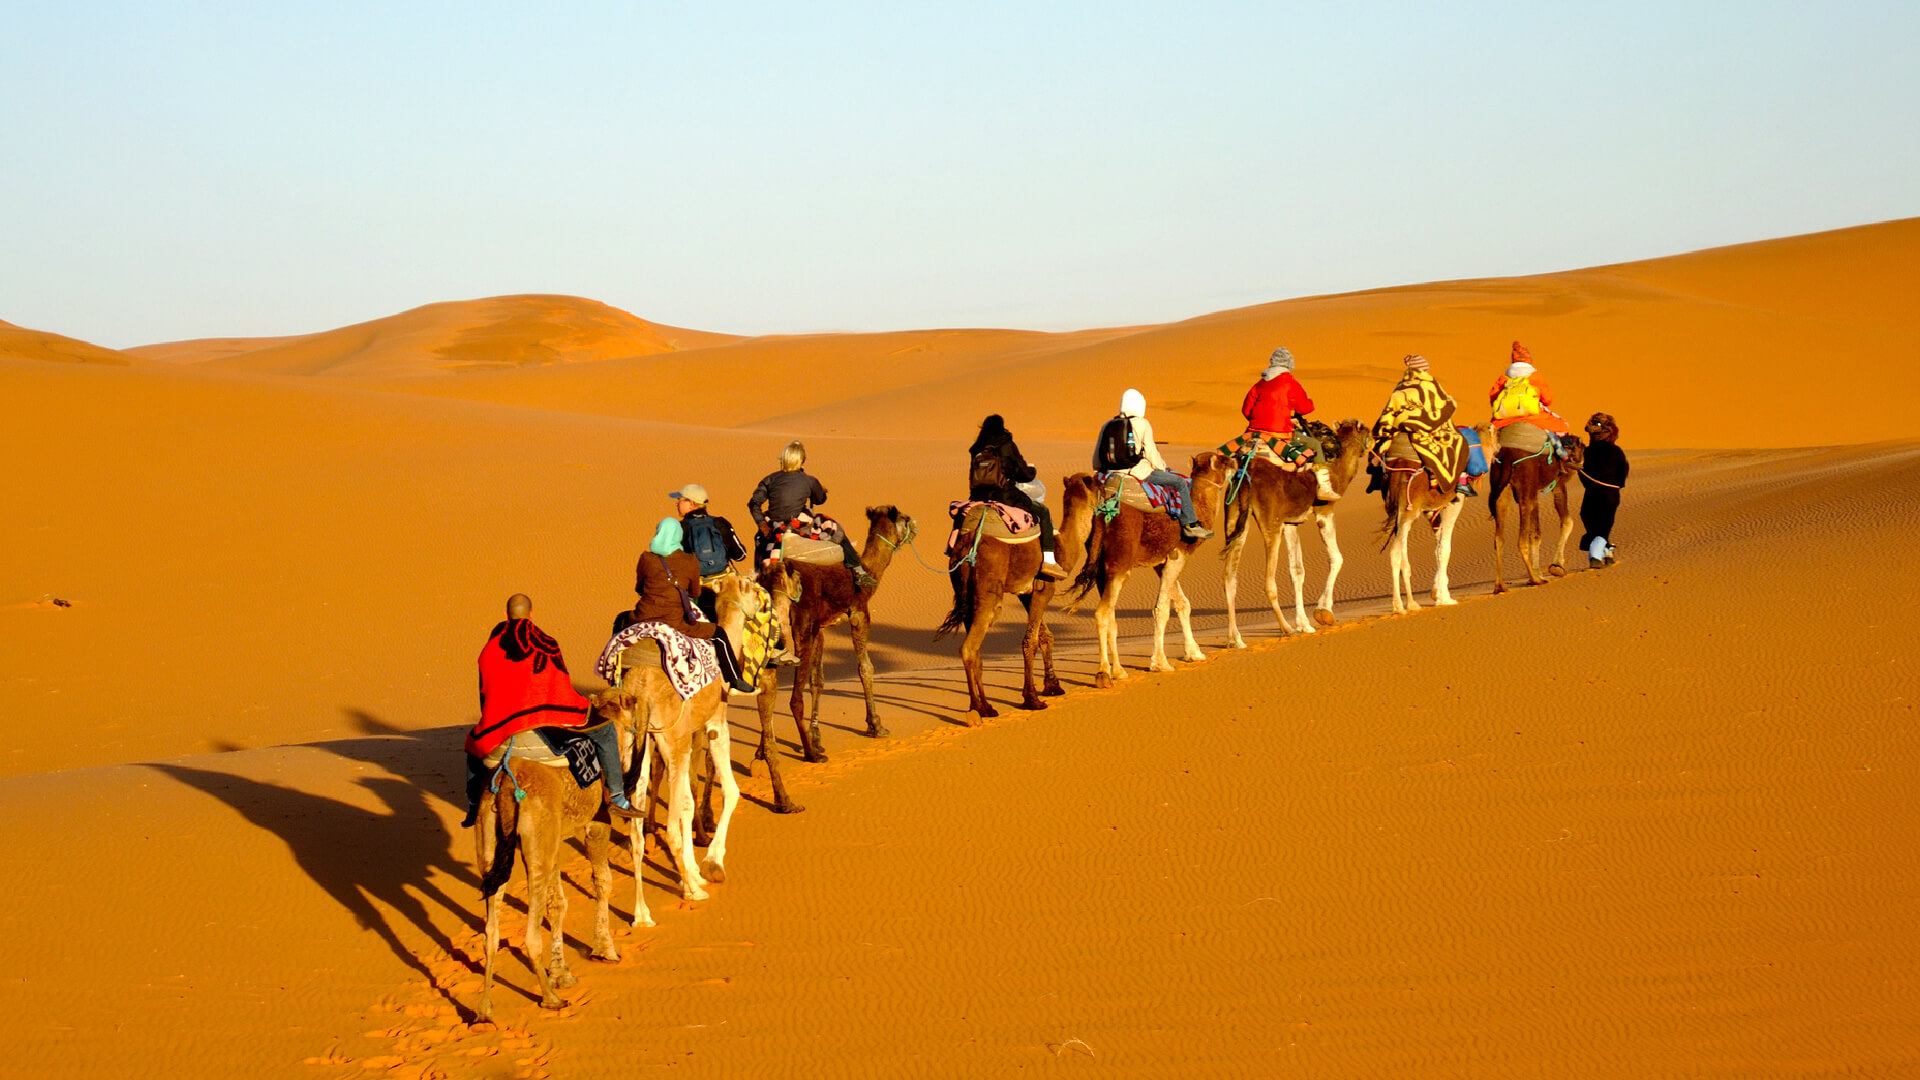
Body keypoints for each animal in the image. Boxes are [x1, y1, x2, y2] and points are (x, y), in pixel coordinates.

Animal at [748, 503, 913, 791]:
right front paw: (875, 726)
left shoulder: (822, 628)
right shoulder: (858, 612)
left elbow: (819, 681)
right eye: (904, 517)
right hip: (802, 627)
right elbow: (865, 668)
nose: (915, 526)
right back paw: (811, 754)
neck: (869, 571)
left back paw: (763, 753)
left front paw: (817, 735)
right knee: (794, 698)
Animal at [933, 476, 1098, 714]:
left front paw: (1053, 686)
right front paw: (1033, 699)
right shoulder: (1044, 588)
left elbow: (1045, 636)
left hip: (964, 591)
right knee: (970, 645)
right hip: (989, 590)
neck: (1064, 545)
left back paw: (986, 705)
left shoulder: (1026, 594)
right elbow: (1030, 640)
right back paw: (979, 709)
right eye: (1098, 484)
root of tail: (967, 545)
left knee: (976, 647)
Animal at [1067, 447, 1228, 684]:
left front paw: (1194, 653)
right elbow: (1162, 608)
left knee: (1111, 613)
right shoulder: (1178, 554)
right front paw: (1160, 663)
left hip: (1102, 567)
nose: (1236, 459)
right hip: (1120, 564)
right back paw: (1103, 673)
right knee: (1102, 612)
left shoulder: (1161, 561)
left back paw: (1119, 671)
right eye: (1225, 461)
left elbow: (1182, 603)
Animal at [1221, 418, 1374, 638]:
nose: (1374, 439)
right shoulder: (1324, 510)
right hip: (1271, 521)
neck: (1337, 469)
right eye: (1367, 431)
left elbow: (1297, 570)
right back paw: (1286, 628)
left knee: (1229, 578)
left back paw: (1235, 639)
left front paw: (1305, 624)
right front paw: (1323, 612)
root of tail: (1247, 475)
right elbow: (1336, 558)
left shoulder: (1291, 522)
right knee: (1268, 581)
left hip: (1234, 516)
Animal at [1482, 426, 1589, 588]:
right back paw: (1534, 579)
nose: (1581, 463)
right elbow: (1568, 522)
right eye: (1582, 448)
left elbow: (1536, 534)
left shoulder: (1535, 492)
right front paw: (1556, 567)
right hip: (1525, 488)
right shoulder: (1558, 483)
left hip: (1501, 490)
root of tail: (1507, 457)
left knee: (1499, 538)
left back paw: (1500, 586)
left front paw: (1540, 571)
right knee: (1521, 540)